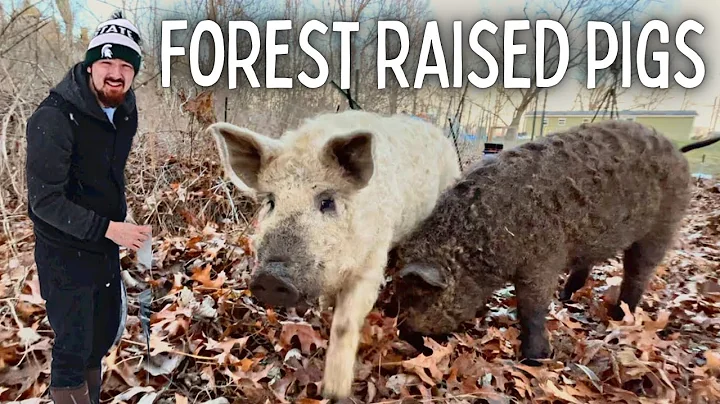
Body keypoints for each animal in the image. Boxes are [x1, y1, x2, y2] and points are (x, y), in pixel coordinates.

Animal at [207, 109, 461, 398]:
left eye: (327, 202)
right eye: (271, 202)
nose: (271, 277)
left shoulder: (372, 263)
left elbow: (344, 324)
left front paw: (334, 393)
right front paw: (324, 309)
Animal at [389, 119, 705, 364]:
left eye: (416, 295)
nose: (402, 334)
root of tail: (677, 149)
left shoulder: (542, 260)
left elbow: (532, 308)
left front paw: (536, 358)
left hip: (664, 224)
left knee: (639, 272)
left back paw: (619, 316)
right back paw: (566, 297)